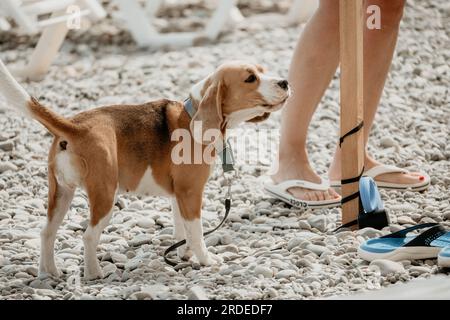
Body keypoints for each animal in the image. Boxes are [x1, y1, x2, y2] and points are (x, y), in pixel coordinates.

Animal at [0, 60, 288, 280]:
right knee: (88, 236)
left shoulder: (178, 195)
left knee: (46, 232)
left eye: (263, 70)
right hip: (105, 196)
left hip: (61, 193)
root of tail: (76, 126)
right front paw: (206, 260)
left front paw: (183, 254)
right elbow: (196, 233)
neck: (193, 114)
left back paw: (48, 273)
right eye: (251, 78)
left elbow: (181, 230)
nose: (285, 82)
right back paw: (94, 274)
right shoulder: (191, 193)